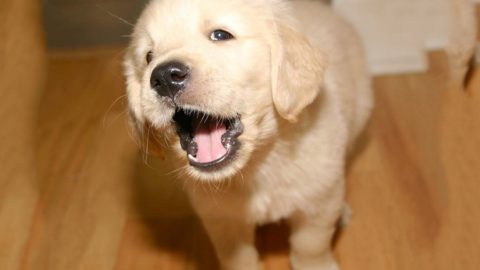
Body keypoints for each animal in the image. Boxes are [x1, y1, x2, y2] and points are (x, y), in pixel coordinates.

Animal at [125, 1, 374, 268]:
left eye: (221, 35)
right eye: (148, 56)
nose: (163, 77)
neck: (260, 162)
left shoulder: (318, 202)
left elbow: (310, 244)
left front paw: (315, 264)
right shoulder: (220, 218)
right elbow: (236, 256)